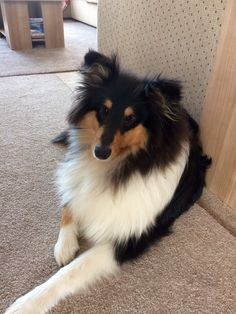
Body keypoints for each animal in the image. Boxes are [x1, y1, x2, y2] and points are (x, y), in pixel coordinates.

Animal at [6, 50, 211, 312]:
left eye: (131, 118)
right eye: (104, 110)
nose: (100, 152)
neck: (115, 168)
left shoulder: (131, 237)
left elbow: (72, 270)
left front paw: (27, 303)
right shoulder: (74, 176)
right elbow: (69, 204)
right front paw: (65, 245)